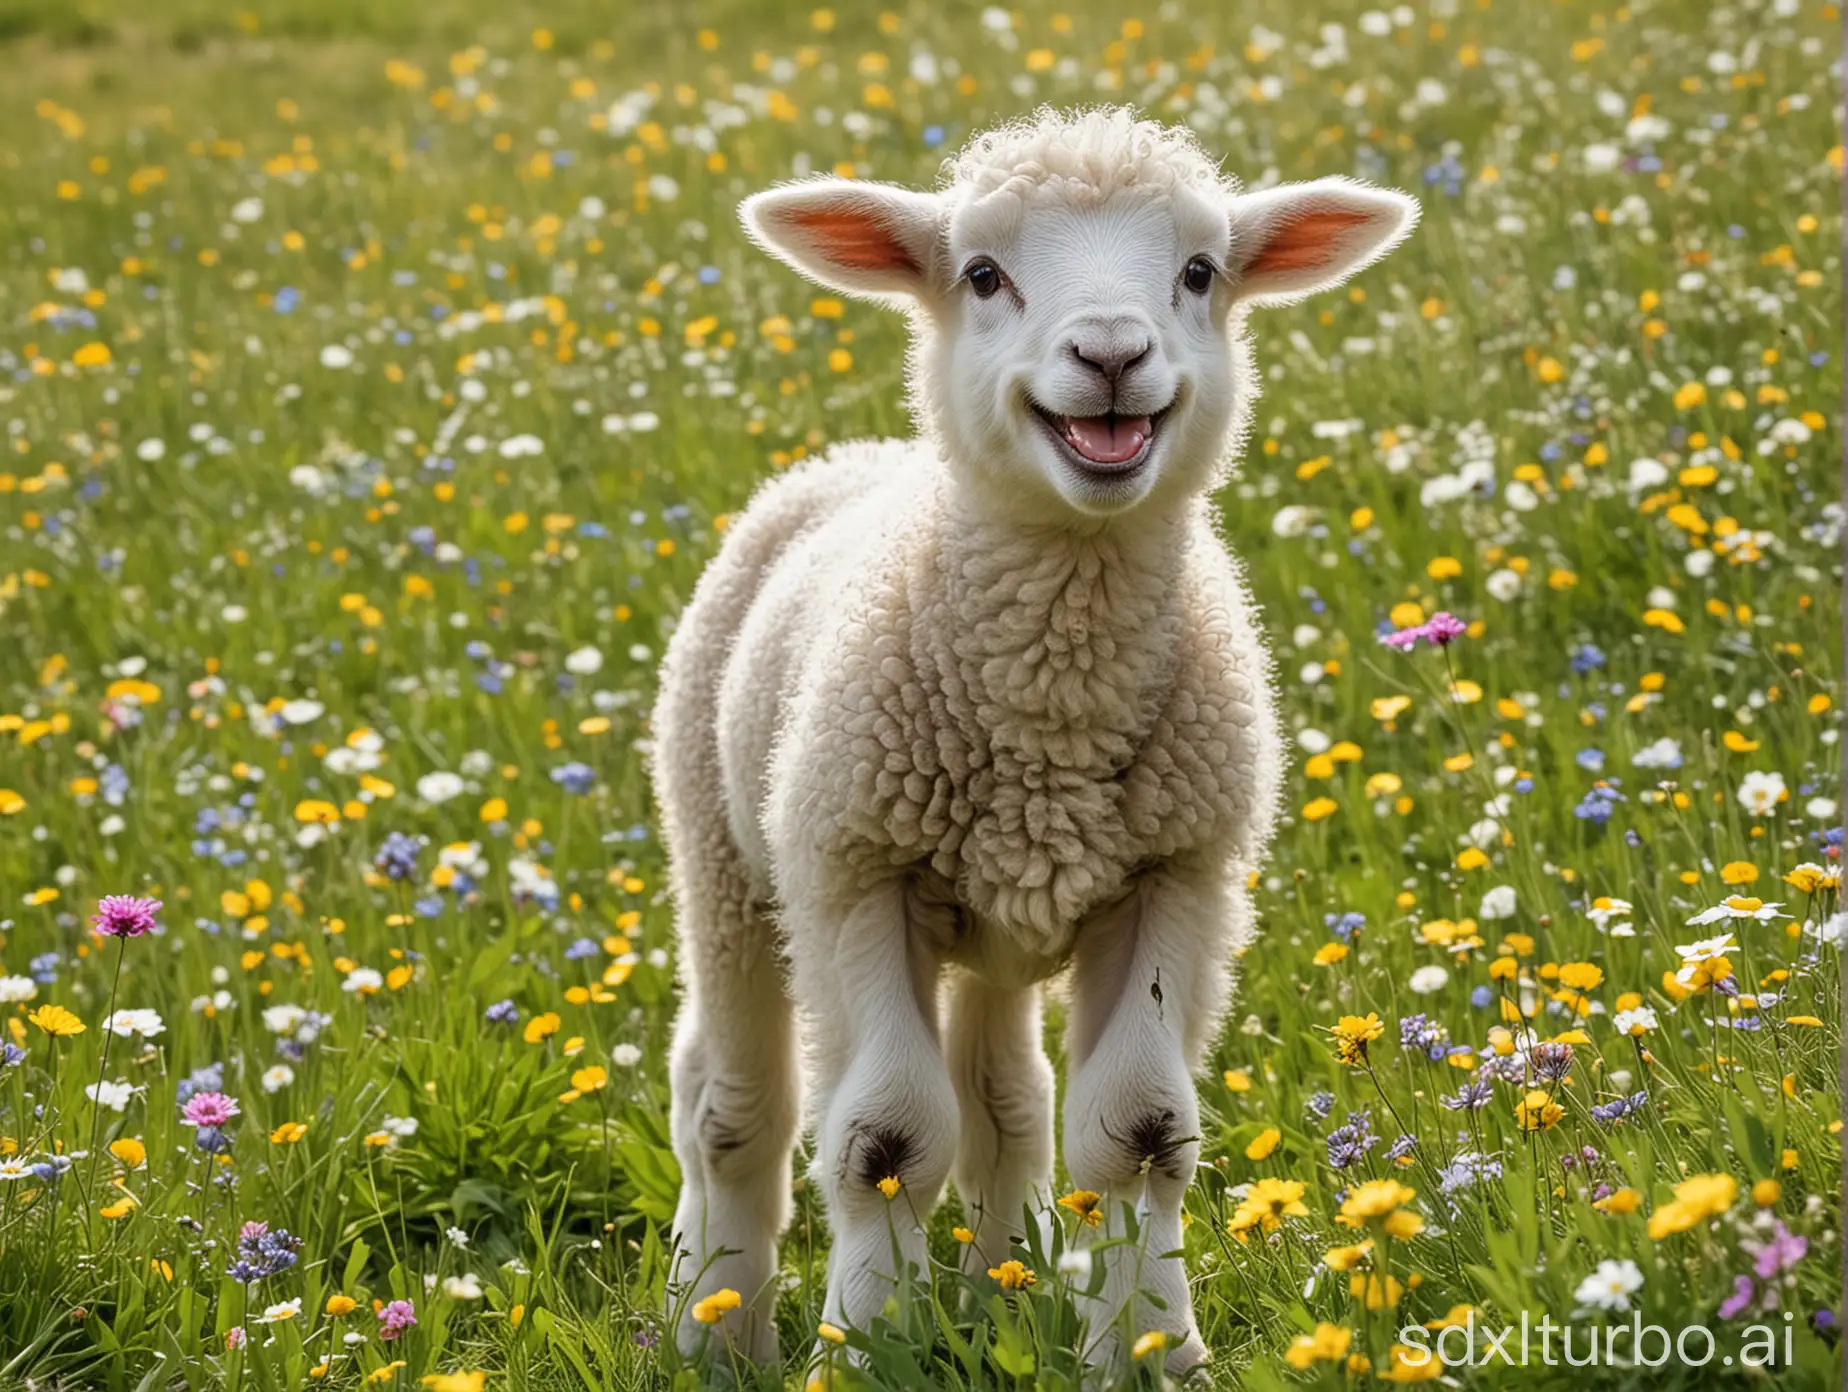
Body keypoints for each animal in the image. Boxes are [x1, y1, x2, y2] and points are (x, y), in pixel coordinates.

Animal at [657, 105, 1419, 1367]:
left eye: (1199, 272)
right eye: (982, 275)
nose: (1110, 356)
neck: (1051, 711)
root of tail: (855, 458)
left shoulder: (1177, 877)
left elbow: (1139, 1129)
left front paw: (1150, 1347)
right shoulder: (857, 876)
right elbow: (884, 1138)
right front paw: (868, 1349)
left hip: (992, 927)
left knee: (1004, 1104)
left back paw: (995, 1291)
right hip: (724, 862)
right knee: (729, 1104)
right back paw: (713, 1325)